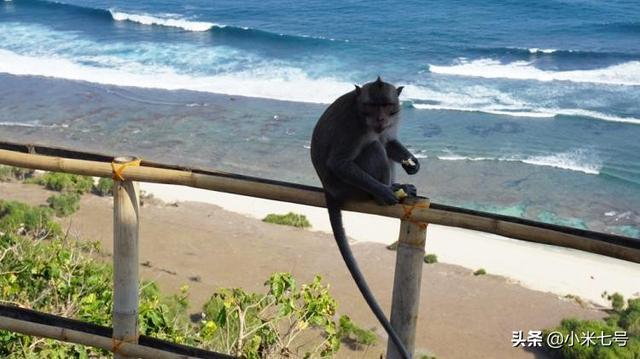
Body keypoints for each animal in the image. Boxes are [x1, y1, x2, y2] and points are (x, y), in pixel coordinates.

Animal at [312, 76, 420, 359]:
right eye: (372, 106)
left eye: (387, 105)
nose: (380, 119)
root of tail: (328, 189)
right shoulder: (353, 127)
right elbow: (340, 162)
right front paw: (384, 191)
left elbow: (391, 142)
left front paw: (412, 162)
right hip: (350, 188)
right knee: (373, 147)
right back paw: (385, 192)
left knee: (382, 144)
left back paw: (398, 184)